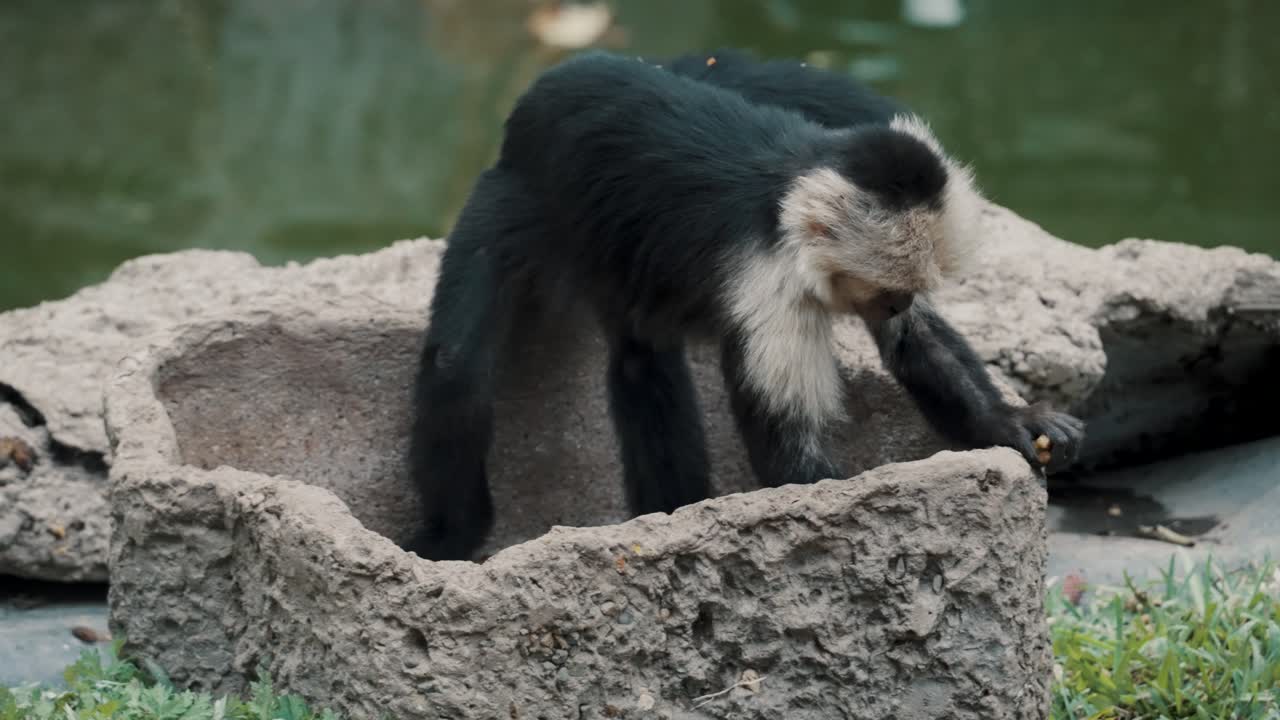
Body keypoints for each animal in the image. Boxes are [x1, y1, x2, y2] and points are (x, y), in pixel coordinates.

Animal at [405, 50, 1084, 561]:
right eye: (887, 294)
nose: (897, 308)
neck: (787, 190)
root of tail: (565, 73)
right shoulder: (771, 282)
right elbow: (788, 454)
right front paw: (859, 513)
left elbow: (921, 349)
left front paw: (1012, 423)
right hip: (515, 194)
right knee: (458, 369)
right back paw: (452, 536)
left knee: (641, 361)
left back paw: (671, 512)